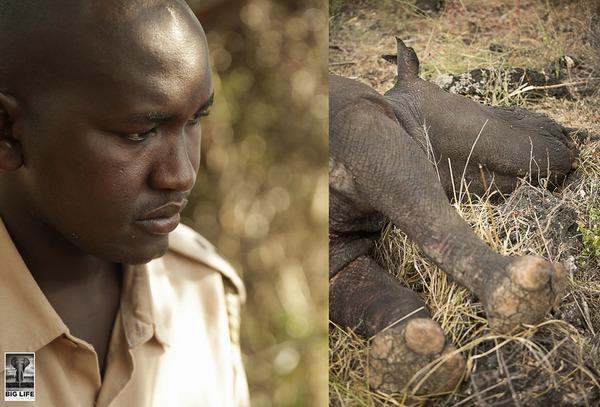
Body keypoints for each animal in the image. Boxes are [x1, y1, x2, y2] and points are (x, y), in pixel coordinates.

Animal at [330, 38, 580, 396]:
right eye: (499, 110)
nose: (563, 133)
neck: (402, 113)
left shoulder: (338, 254)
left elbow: (374, 293)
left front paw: (410, 364)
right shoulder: (357, 122)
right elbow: (425, 208)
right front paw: (517, 295)